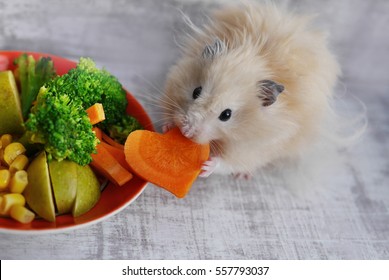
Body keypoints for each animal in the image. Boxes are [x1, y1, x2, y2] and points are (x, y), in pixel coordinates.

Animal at [161, 2, 340, 177]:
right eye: (196, 91)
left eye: (226, 115)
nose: (186, 132)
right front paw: (167, 127)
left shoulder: (254, 149)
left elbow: (229, 163)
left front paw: (206, 166)